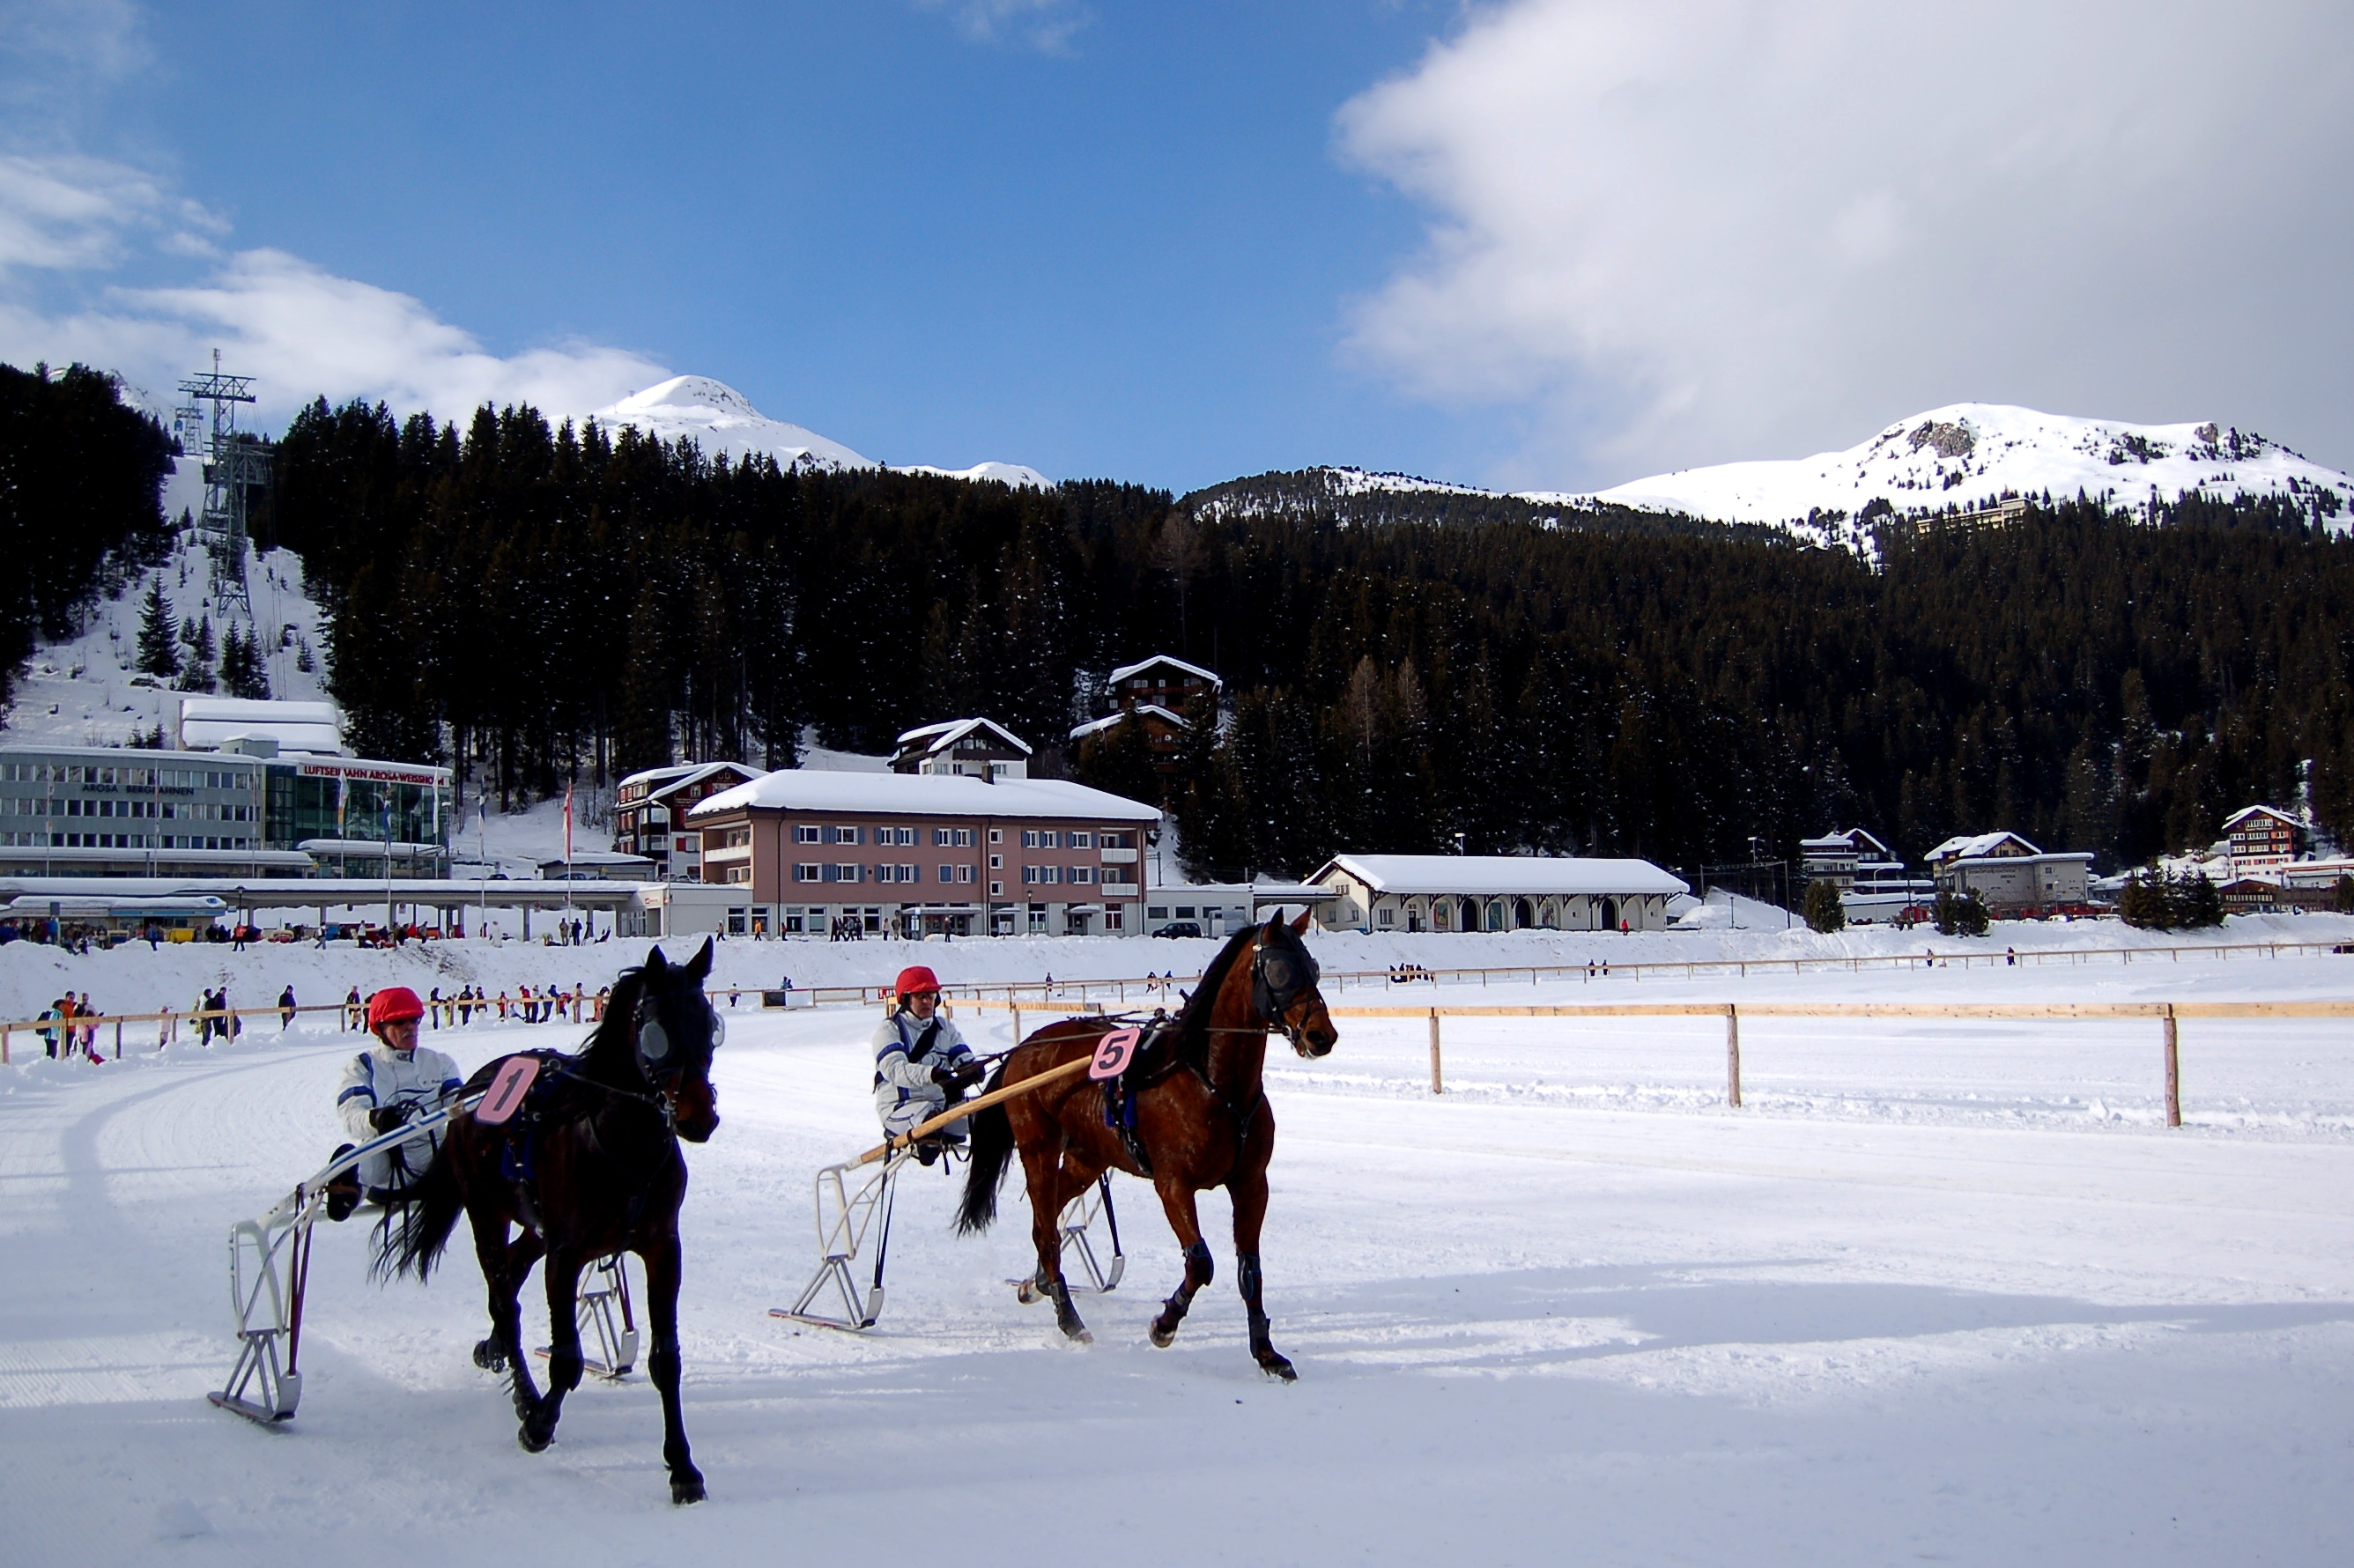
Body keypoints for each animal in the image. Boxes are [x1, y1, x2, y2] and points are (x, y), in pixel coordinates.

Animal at [372, 932, 720, 1497]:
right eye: (656, 1031)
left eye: (709, 1022)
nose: (698, 1116)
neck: (620, 1146)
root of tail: (473, 1089)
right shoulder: (566, 1254)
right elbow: (567, 1360)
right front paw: (539, 1423)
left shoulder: (663, 1248)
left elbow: (666, 1360)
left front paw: (683, 1466)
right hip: (485, 1211)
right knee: (503, 1298)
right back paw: (521, 1387)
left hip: (533, 1225)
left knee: (511, 1277)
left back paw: (493, 1348)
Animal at [951, 908, 1328, 1374]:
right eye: (1280, 970)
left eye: (1313, 967)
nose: (1322, 1036)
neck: (1212, 1081)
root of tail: (1026, 1046)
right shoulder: (1173, 1183)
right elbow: (1200, 1262)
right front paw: (1165, 1323)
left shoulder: (1252, 1183)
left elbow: (1250, 1270)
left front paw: (1266, 1352)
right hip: (1038, 1145)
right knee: (1047, 1229)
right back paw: (1069, 1319)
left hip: (1087, 1157)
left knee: (1049, 1217)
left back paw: (1036, 1283)